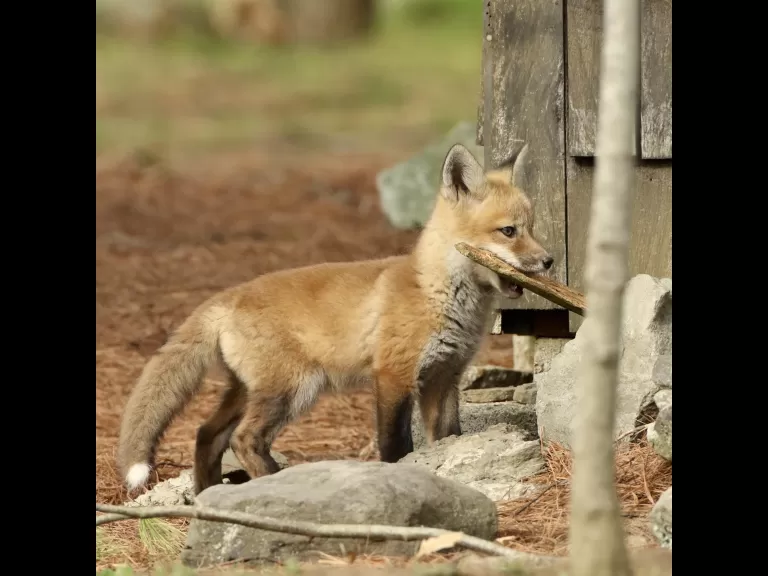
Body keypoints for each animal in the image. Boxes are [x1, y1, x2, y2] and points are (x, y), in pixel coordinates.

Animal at [116, 143, 554, 496]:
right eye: (508, 231)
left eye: (532, 228)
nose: (549, 260)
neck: (437, 294)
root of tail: (231, 294)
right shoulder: (393, 375)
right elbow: (395, 446)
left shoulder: (444, 378)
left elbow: (446, 438)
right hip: (293, 389)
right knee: (244, 440)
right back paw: (275, 480)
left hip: (249, 390)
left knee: (207, 434)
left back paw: (209, 496)